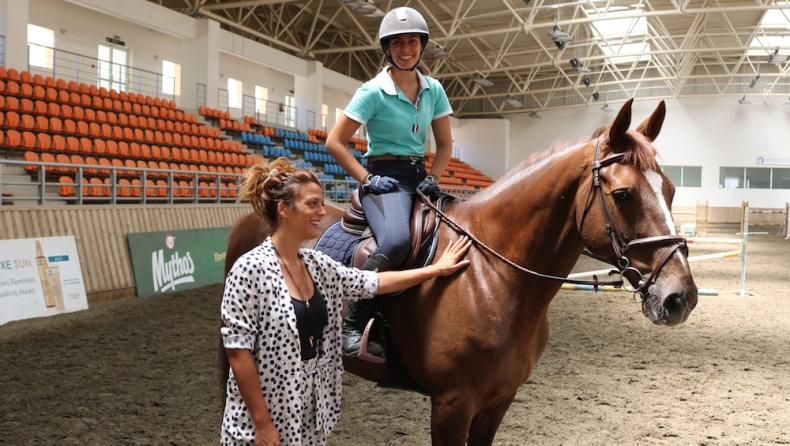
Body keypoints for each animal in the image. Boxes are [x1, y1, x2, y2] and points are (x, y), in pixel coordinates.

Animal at [221, 101, 700, 446]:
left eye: (671, 189)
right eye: (623, 195)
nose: (681, 297)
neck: (490, 275)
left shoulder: (497, 401)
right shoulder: (452, 404)